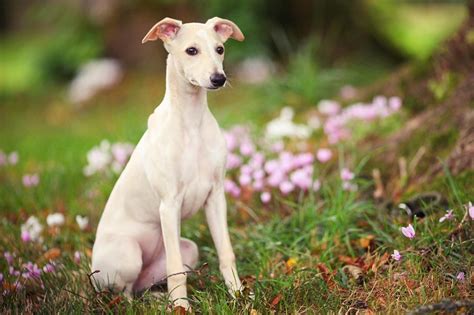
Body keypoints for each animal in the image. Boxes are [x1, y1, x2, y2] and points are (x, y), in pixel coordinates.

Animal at [90, 17, 244, 312]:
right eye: (191, 50)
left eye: (220, 49)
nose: (219, 79)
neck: (191, 122)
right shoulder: (169, 204)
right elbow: (176, 270)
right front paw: (182, 307)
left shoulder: (216, 197)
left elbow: (226, 253)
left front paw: (239, 296)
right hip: (128, 254)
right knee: (125, 293)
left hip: (189, 250)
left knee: (141, 288)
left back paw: (159, 298)